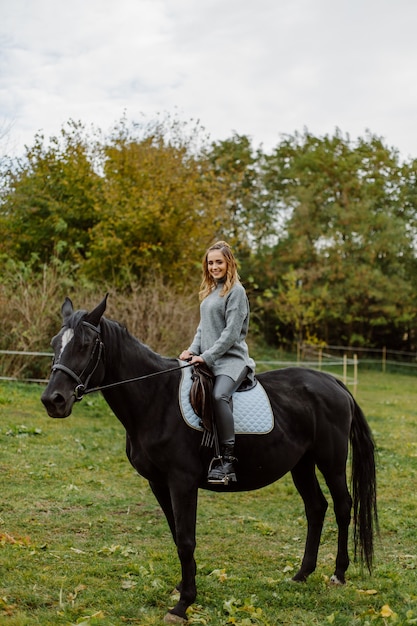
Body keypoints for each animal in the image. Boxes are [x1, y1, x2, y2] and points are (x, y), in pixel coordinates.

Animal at [39, 294, 376, 620]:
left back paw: (338, 574)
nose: (53, 400)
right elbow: (177, 536)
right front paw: (182, 587)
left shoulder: (182, 482)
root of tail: (333, 382)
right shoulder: (158, 483)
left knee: (343, 506)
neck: (155, 400)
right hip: (302, 465)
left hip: (331, 462)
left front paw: (183, 605)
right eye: (56, 343)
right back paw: (302, 574)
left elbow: (187, 539)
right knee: (316, 508)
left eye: (84, 344)